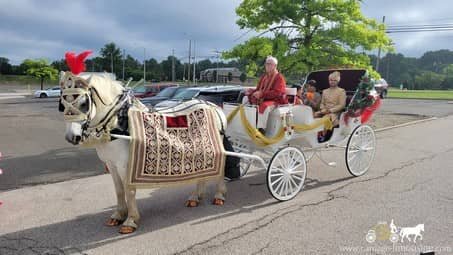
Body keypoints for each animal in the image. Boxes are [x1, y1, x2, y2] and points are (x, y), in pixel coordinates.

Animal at [58, 71, 228, 233]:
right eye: (62, 104)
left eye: (84, 103)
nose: (71, 137)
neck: (119, 123)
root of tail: (212, 106)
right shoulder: (111, 165)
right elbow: (119, 190)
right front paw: (118, 215)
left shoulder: (125, 165)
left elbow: (129, 191)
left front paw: (130, 220)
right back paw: (195, 197)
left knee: (220, 169)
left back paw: (219, 195)